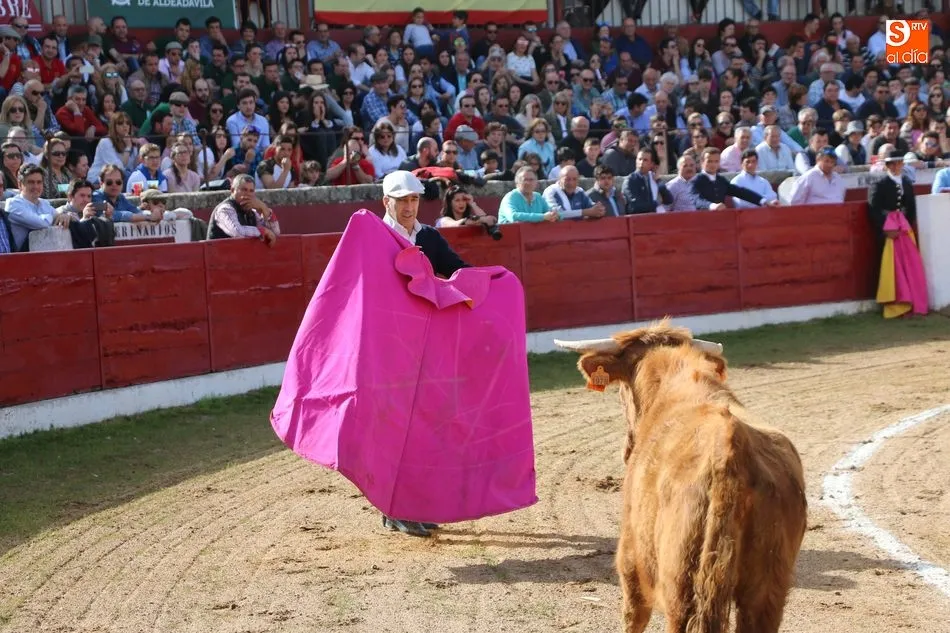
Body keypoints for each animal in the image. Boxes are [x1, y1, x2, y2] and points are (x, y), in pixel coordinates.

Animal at [555, 320, 807, 633]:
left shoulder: (630, 559)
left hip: (680, 586)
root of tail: (729, 449)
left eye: (623, 388)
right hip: (766, 593)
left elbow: (633, 616)